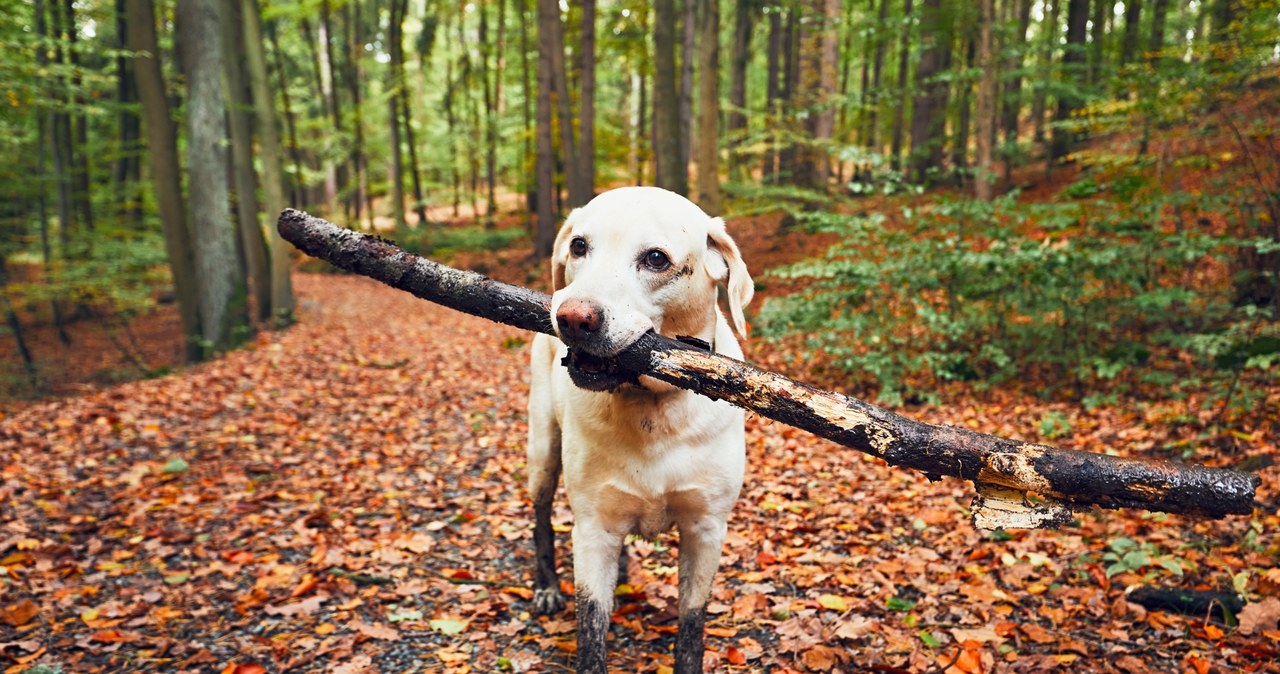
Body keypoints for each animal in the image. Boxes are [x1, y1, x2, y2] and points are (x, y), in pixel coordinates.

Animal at [527, 185, 752, 674]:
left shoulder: (706, 529)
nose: (572, 317)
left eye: (655, 258)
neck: (652, 407)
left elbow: (691, 625)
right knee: (540, 517)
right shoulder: (593, 530)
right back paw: (546, 586)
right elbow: (591, 633)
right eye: (579, 246)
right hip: (542, 452)